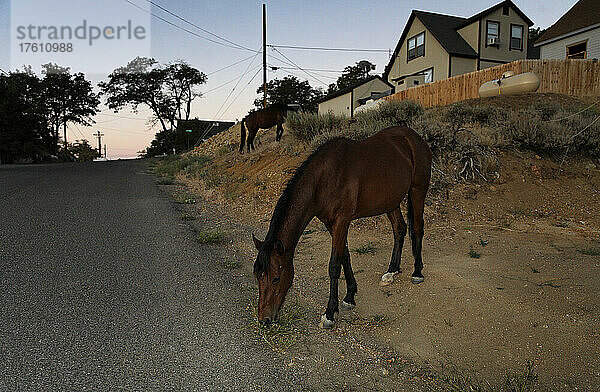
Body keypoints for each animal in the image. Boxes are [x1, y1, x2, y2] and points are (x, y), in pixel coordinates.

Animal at [252, 125, 432, 328]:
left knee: (417, 228)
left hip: (417, 190)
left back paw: (417, 272)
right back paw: (391, 271)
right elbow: (345, 256)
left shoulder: (342, 220)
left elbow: (334, 265)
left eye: (276, 278)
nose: (264, 319)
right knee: (399, 229)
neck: (324, 178)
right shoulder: (331, 223)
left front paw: (330, 313)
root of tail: (414, 137)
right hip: (391, 201)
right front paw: (349, 297)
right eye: (257, 276)